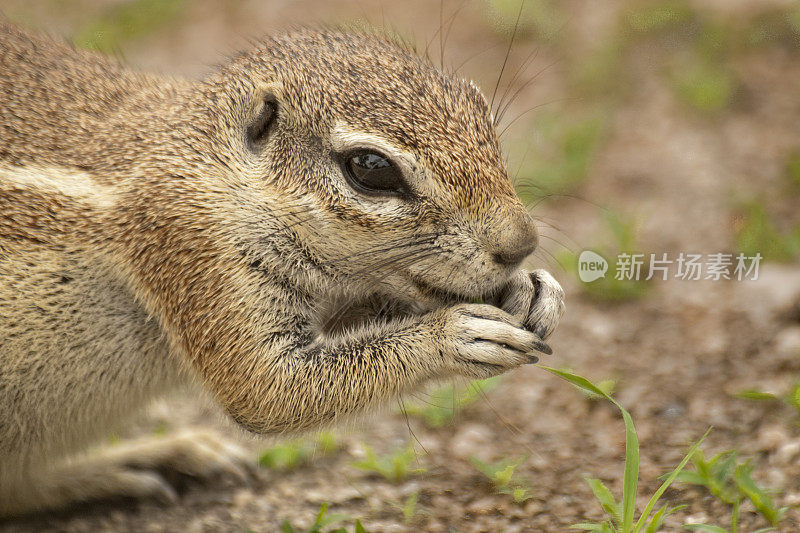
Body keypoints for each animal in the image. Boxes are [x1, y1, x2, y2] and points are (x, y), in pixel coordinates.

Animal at [0, 21, 564, 516]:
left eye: (480, 110)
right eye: (371, 168)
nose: (521, 243)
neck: (218, 167)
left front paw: (533, 289)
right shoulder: (194, 247)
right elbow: (267, 391)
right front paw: (455, 334)